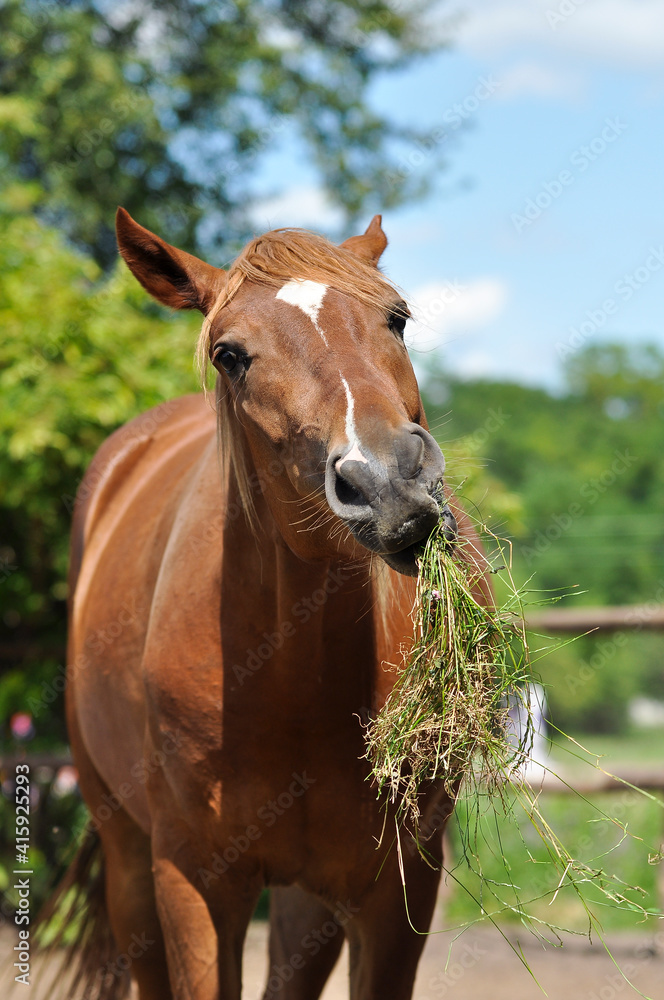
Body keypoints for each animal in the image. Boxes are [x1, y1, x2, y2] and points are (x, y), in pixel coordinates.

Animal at [56, 208, 490, 1000]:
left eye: (397, 318)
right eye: (229, 355)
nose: (389, 482)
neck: (296, 682)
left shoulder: (397, 888)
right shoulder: (193, 883)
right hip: (128, 858)